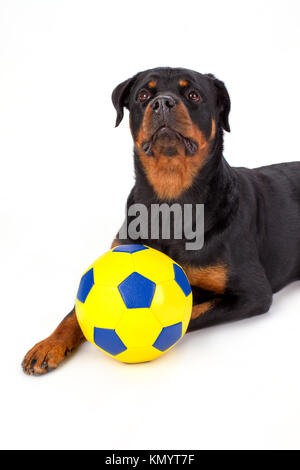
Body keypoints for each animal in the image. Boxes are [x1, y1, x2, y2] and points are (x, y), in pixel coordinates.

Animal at [22, 67, 300, 374]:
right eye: (144, 95)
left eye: (193, 95)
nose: (163, 102)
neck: (170, 201)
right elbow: (73, 314)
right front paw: (48, 345)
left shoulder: (253, 292)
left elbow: (190, 314)